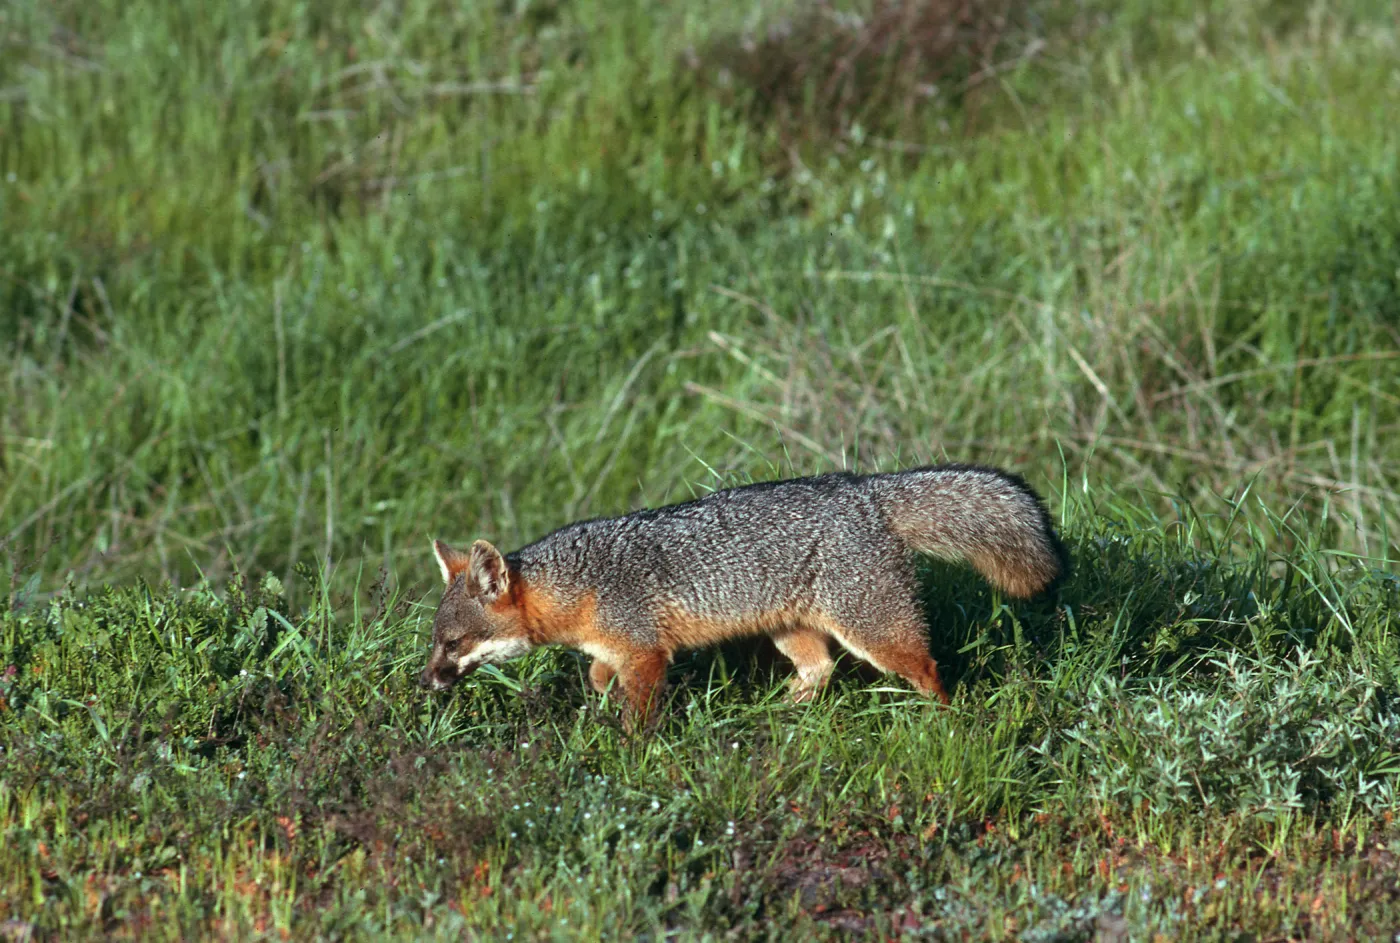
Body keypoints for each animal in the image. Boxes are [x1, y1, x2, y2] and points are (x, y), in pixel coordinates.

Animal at [420, 464, 1068, 731]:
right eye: (436, 641)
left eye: (453, 643)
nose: (424, 682)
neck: (579, 583)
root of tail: (862, 490)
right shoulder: (616, 648)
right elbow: (598, 678)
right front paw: (599, 702)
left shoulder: (648, 655)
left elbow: (637, 714)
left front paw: (627, 750)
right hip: (792, 630)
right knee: (820, 671)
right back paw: (775, 714)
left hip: (875, 631)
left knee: (928, 669)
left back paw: (945, 726)